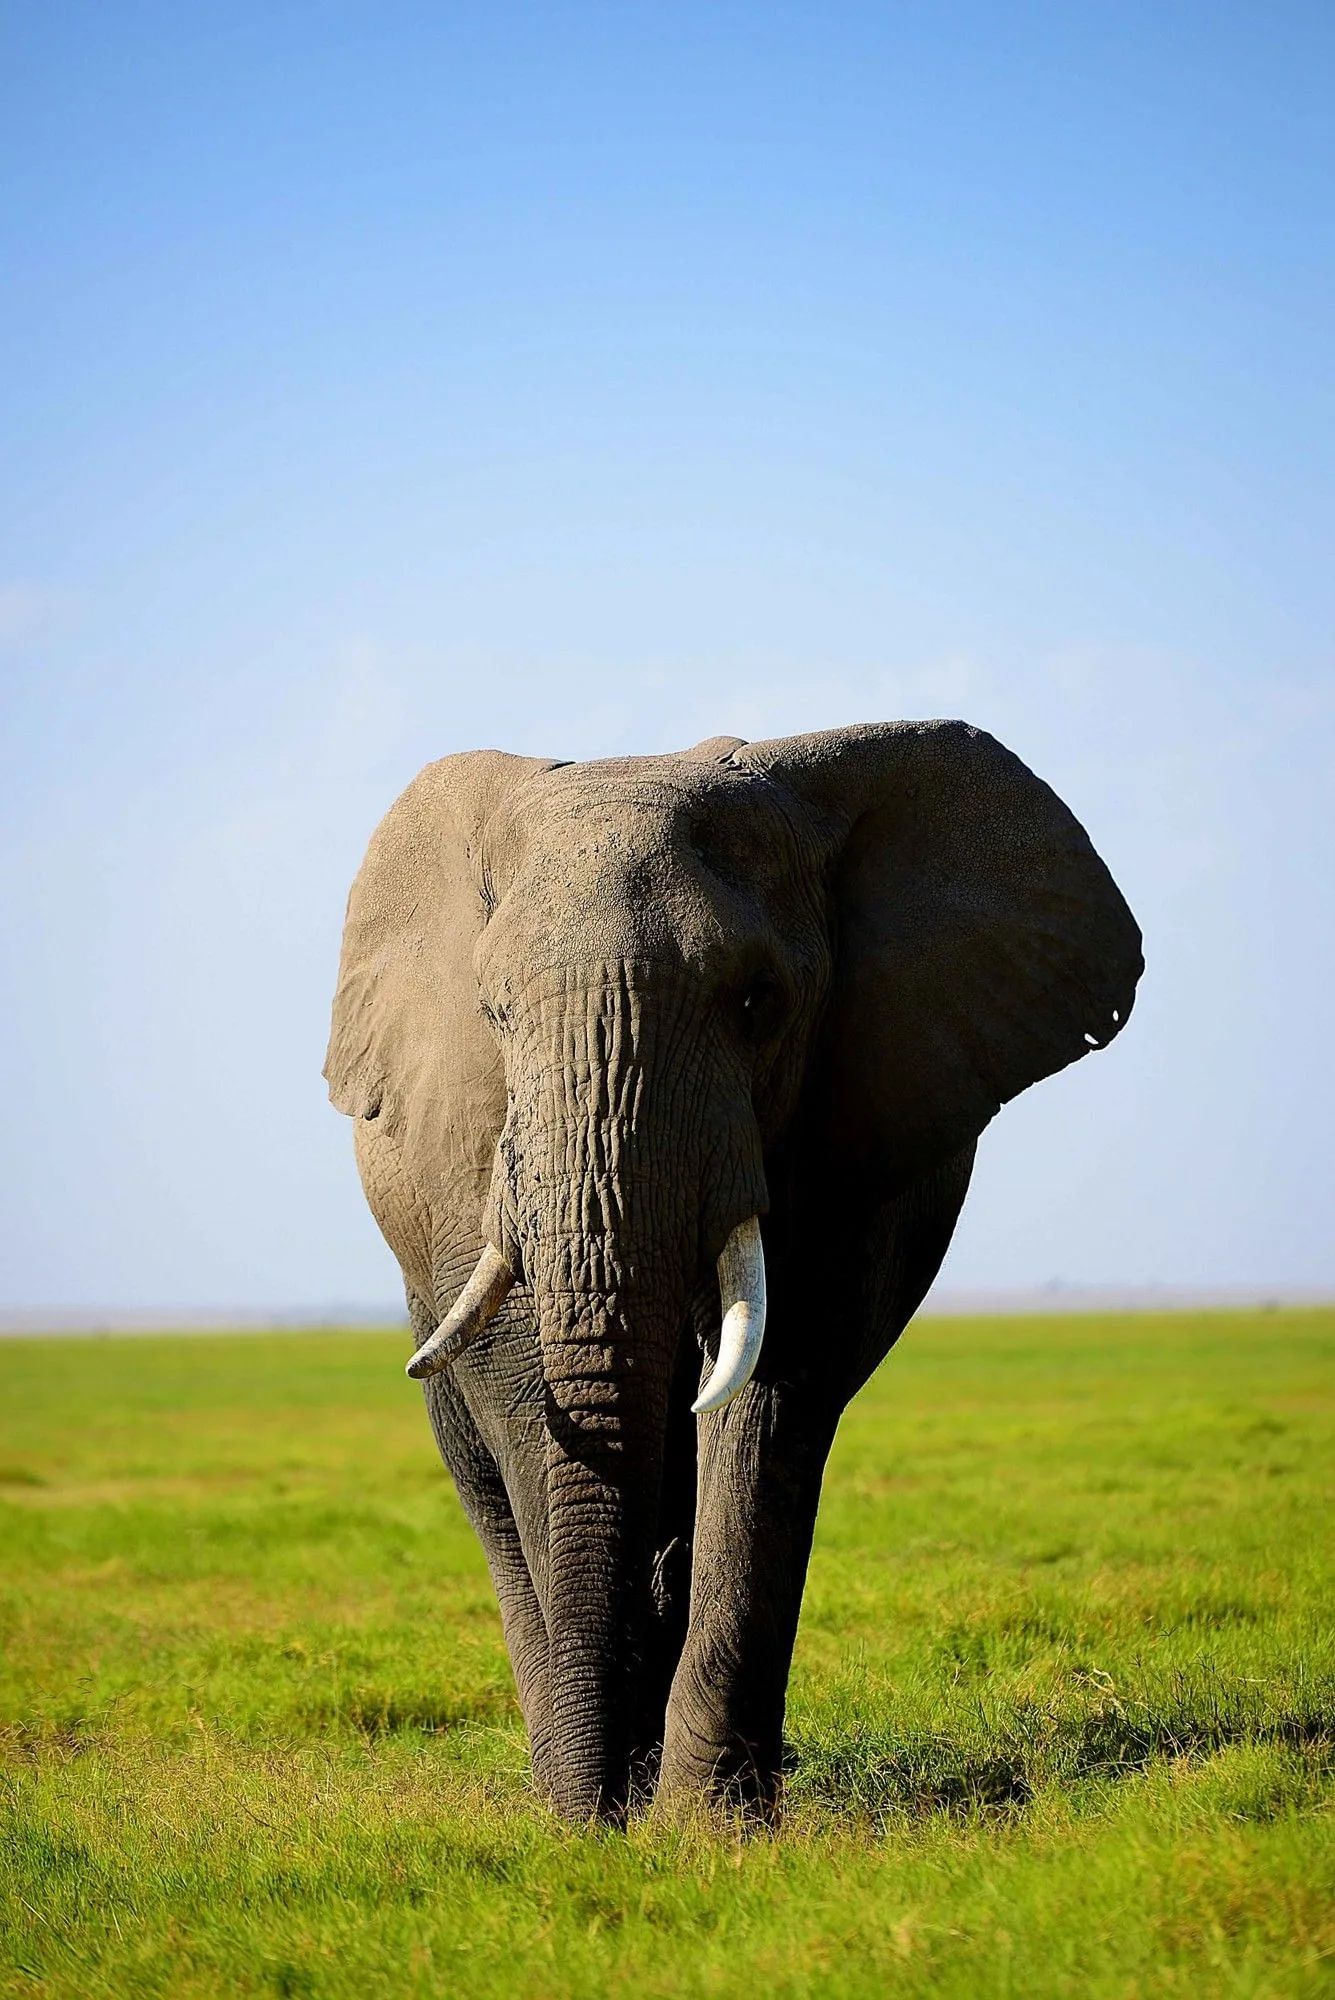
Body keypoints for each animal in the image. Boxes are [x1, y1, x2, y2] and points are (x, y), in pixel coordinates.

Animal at [325, 720, 1142, 1822]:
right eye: (492, 1014)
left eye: (758, 1001)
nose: (600, 1821)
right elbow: (527, 1391)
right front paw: (595, 1814)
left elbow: (769, 1390)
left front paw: (704, 1824)